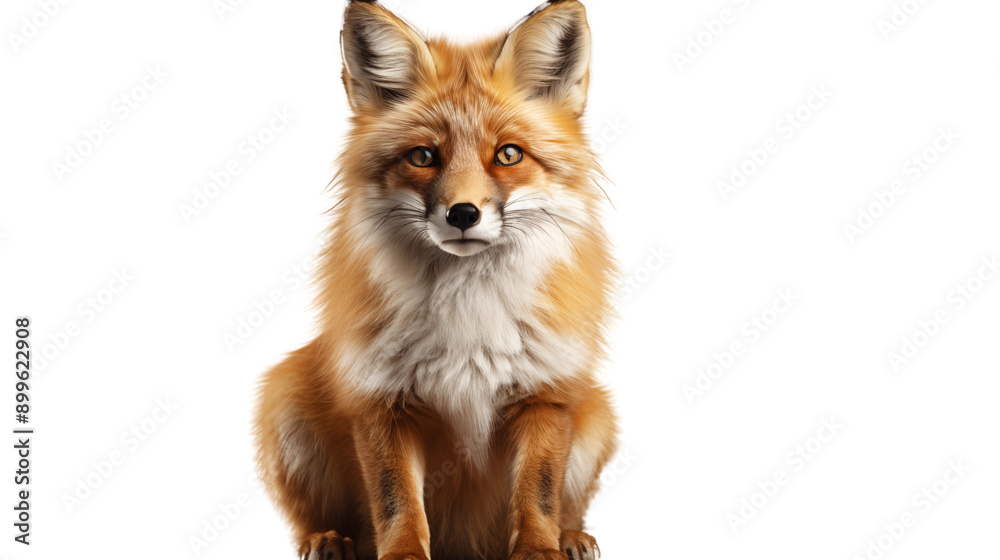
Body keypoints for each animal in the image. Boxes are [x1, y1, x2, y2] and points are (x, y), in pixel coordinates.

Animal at [254, 1, 619, 559]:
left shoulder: (545, 395)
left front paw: (541, 549)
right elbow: (396, 501)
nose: (463, 214)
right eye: (423, 156)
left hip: (597, 416)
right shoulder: (383, 402)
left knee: (569, 505)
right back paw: (328, 537)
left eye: (508, 154)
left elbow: (538, 493)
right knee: (314, 518)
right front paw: (402, 553)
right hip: (285, 399)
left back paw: (572, 536)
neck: (468, 319)